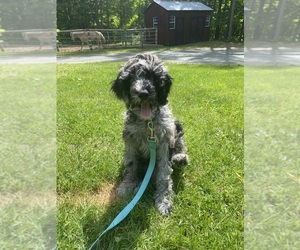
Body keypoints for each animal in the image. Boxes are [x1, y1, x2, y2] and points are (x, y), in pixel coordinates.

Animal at [111, 53, 189, 216]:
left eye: (153, 76)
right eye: (131, 77)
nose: (143, 93)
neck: (147, 123)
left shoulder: (165, 141)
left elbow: (164, 174)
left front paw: (163, 200)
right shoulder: (130, 141)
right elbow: (131, 165)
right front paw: (128, 185)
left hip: (177, 126)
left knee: (179, 148)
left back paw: (179, 158)